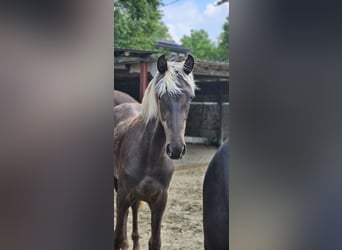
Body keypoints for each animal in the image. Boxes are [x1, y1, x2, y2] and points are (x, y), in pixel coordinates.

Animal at [113, 53, 195, 249]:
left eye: (190, 97)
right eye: (160, 96)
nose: (176, 149)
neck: (150, 155)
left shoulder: (159, 202)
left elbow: (155, 241)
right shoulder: (123, 196)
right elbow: (116, 236)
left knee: (134, 210)